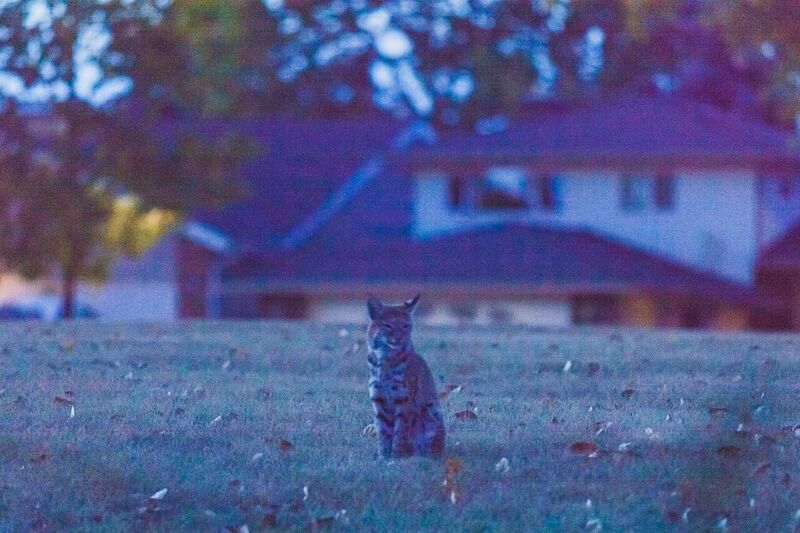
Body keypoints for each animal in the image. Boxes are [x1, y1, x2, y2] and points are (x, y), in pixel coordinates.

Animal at [366, 294, 445, 458]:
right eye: (388, 326)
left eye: (405, 326)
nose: (399, 338)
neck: (385, 359)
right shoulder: (378, 397)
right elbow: (382, 430)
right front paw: (383, 456)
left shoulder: (404, 399)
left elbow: (400, 430)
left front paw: (396, 456)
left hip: (432, 409)